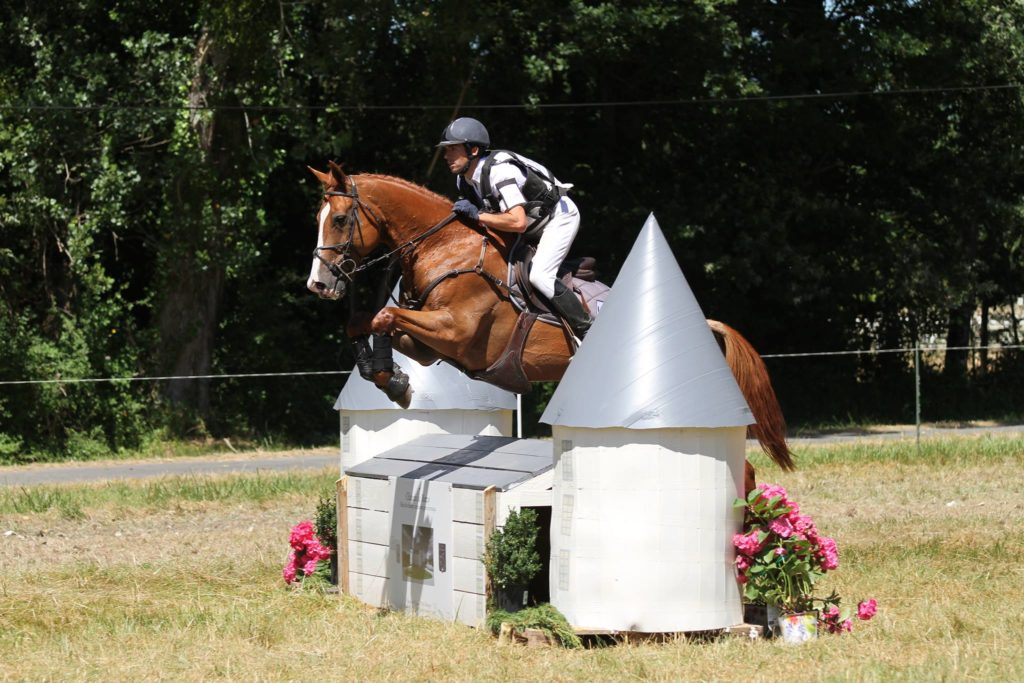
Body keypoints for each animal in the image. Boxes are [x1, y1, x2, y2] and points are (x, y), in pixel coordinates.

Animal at [303, 162, 790, 491]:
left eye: (341, 220)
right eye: (318, 219)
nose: (319, 283)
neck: (445, 246)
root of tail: (709, 326)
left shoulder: (456, 333)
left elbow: (381, 317)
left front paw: (393, 382)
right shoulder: (432, 344)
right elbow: (367, 324)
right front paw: (390, 378)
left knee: (743, 471)